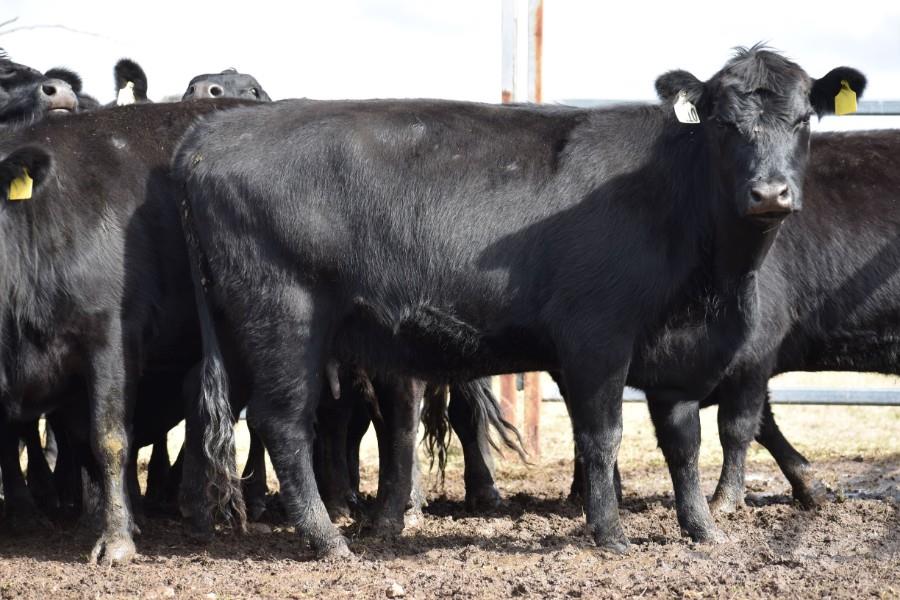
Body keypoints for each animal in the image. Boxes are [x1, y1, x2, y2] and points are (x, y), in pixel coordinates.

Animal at [174, 45, 862, 557]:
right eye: (724, 123)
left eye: (803, 120)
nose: (769, 193)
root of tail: (217, 131)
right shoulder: (597, 338)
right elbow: (602, 436)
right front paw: (610, 534)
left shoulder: (679, 357)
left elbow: (683, 442)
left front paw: (703, 529)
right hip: (282, 317)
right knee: (284, 423)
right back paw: (326, 539)